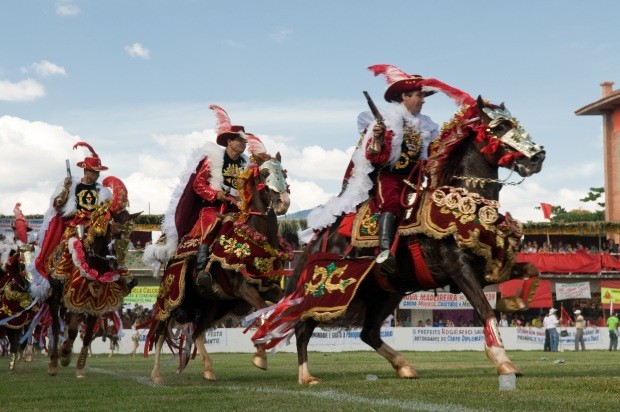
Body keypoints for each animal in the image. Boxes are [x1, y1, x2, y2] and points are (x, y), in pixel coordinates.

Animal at [45, 177, 141, 376]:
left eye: (130, 235)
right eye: (115, 231)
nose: (117, 263)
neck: (94, 264)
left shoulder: (95, 304)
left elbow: (87, 334)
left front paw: (80, 366)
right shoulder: (75, 298)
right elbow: (73, 331)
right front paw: (65, 354)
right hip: (54, 298)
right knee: (57, 328)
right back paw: (54, 362)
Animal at [252, 96, 544, 384]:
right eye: (500, 127)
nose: (538, 156)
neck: (464, 204)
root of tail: (321, 234)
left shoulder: (486, 267)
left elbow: (531, 270)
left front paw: (517, 302)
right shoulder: (459, 269)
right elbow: (485, 310)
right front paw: (503, 361)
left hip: (387, 292)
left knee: (368, 332)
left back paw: (404, 366)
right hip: (327, 292)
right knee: (303, 326)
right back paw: (305, 375)